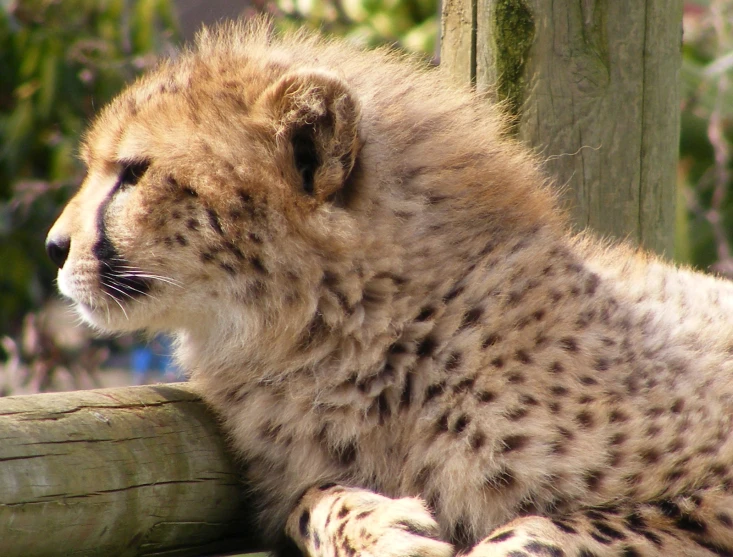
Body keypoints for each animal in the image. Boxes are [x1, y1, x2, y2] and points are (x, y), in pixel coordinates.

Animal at [47, 17, 733, 556]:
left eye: (134, 172)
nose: (55, 246)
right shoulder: (288, 485)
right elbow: (309, 500)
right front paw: (378, 528)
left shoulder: (715, 482)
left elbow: (551, 525)